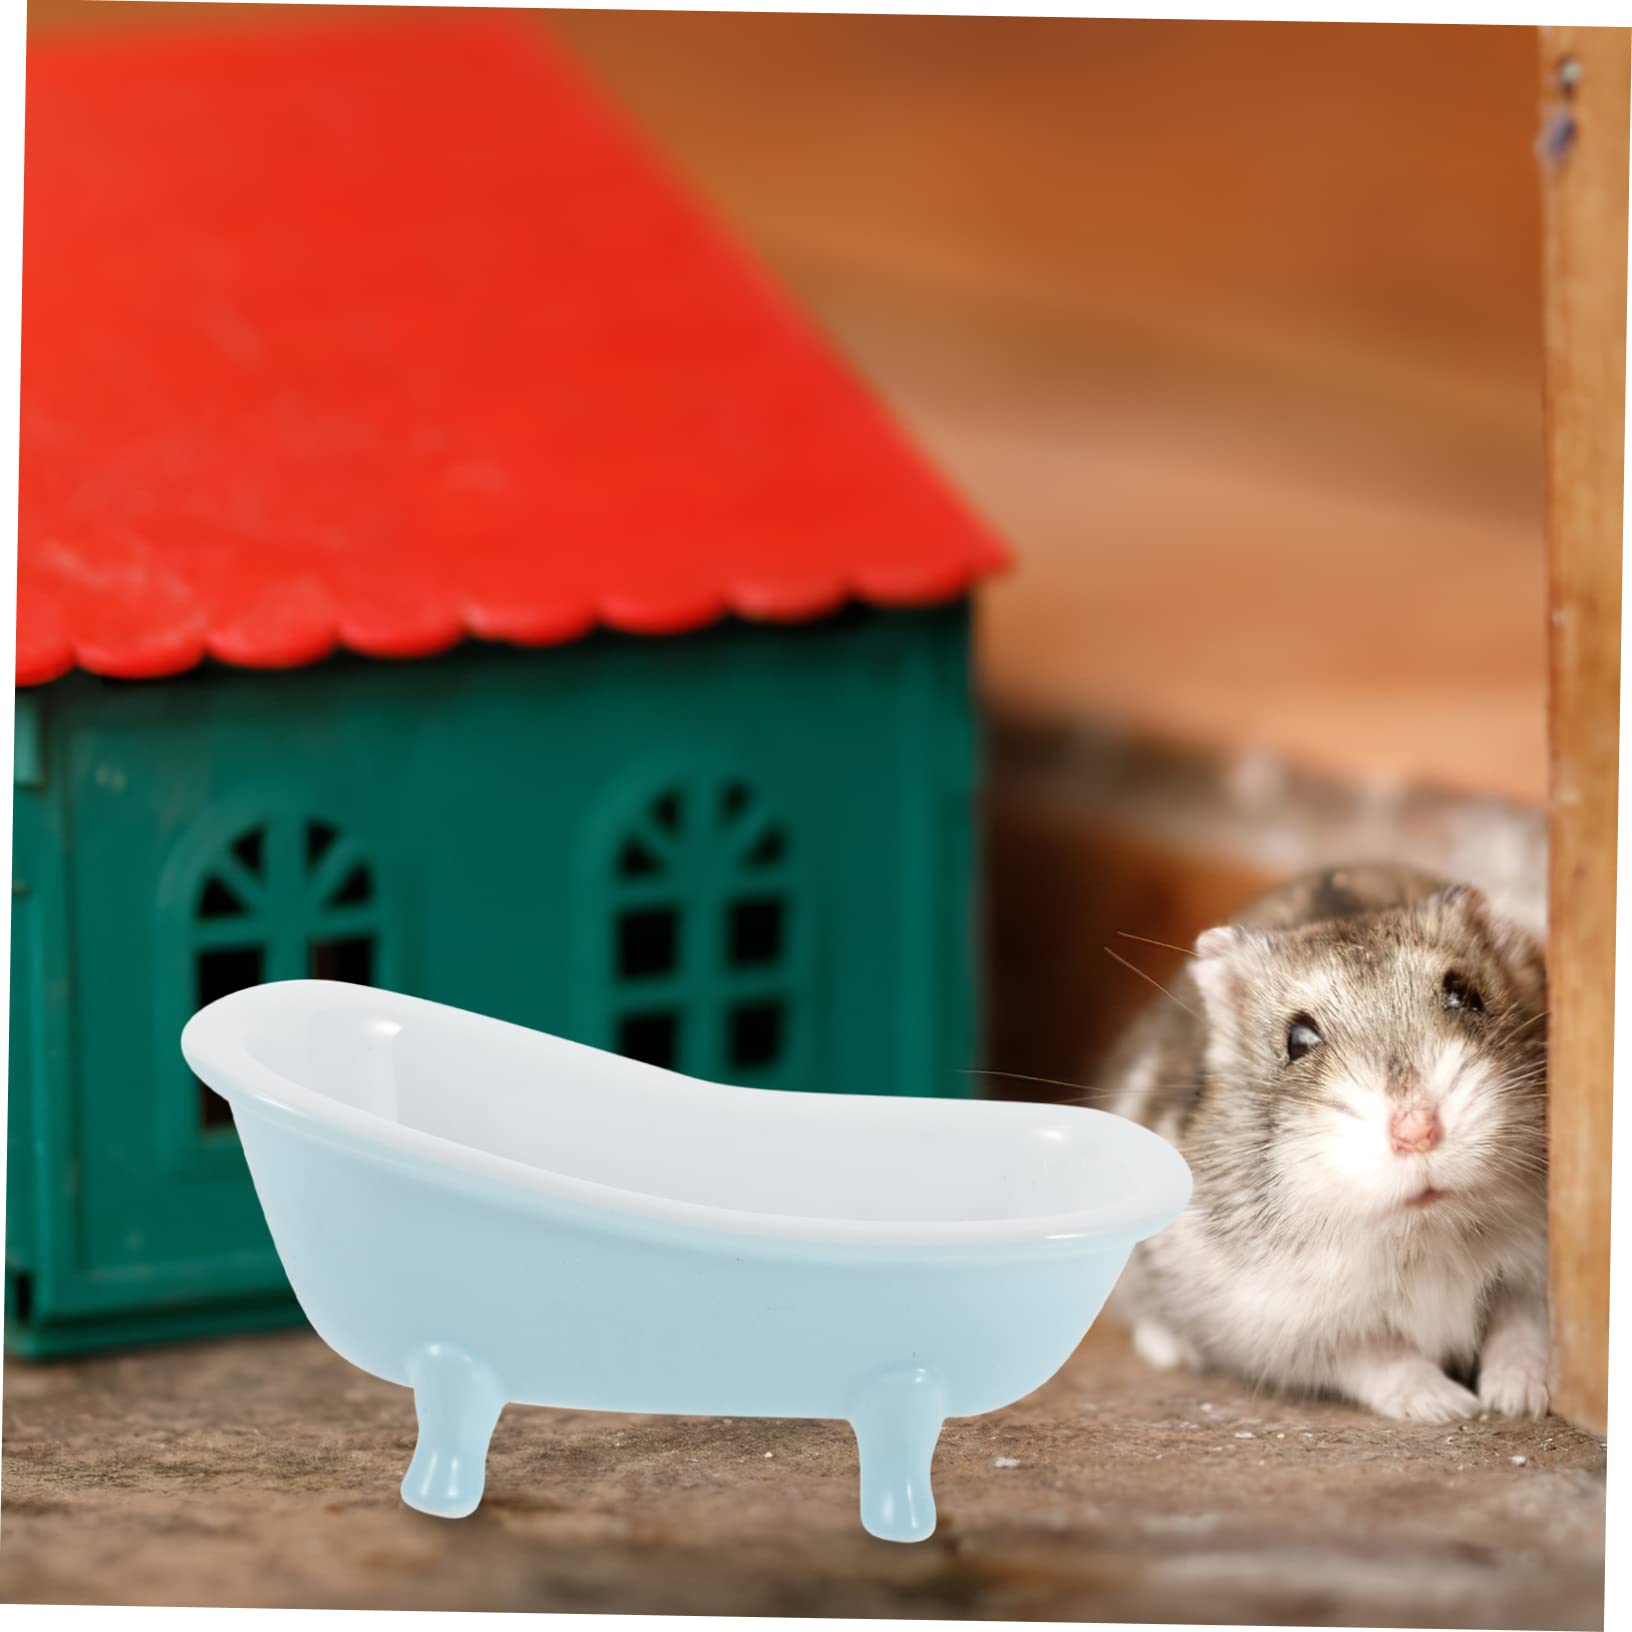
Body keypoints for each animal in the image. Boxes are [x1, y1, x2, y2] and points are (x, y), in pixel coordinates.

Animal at [1103, 863, 1550, 1422]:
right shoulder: (1296, 1328)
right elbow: (1382, 1359)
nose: (1417, 1131)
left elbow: (1521, 1330)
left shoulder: (1531, 1278)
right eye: (1298, 1040)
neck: (1423, 1232)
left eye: (1466, 995)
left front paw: (1517, 1401)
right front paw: (1447, 1407)